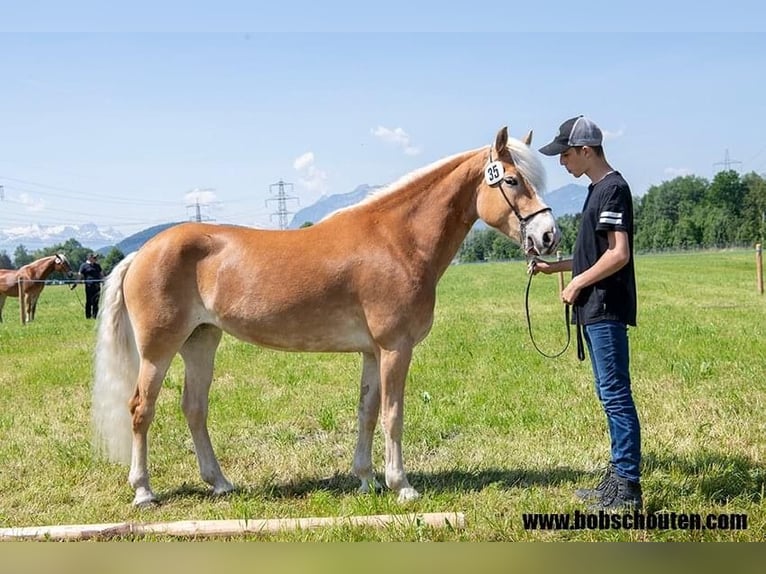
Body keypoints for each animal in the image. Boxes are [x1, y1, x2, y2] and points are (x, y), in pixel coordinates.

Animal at [93, 127, 564, 508]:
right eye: (513, 180)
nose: (548, 236)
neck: (397, 241)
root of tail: (142, 252)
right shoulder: (396, 348)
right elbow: (393, 414)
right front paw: (402, 486)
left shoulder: (373, 352)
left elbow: (367, 412)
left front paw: (367, 480)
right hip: (158, 349)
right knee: (141, 409)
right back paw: (144, 491)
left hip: (201, 341)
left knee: (194, 408)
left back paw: (221, 484)